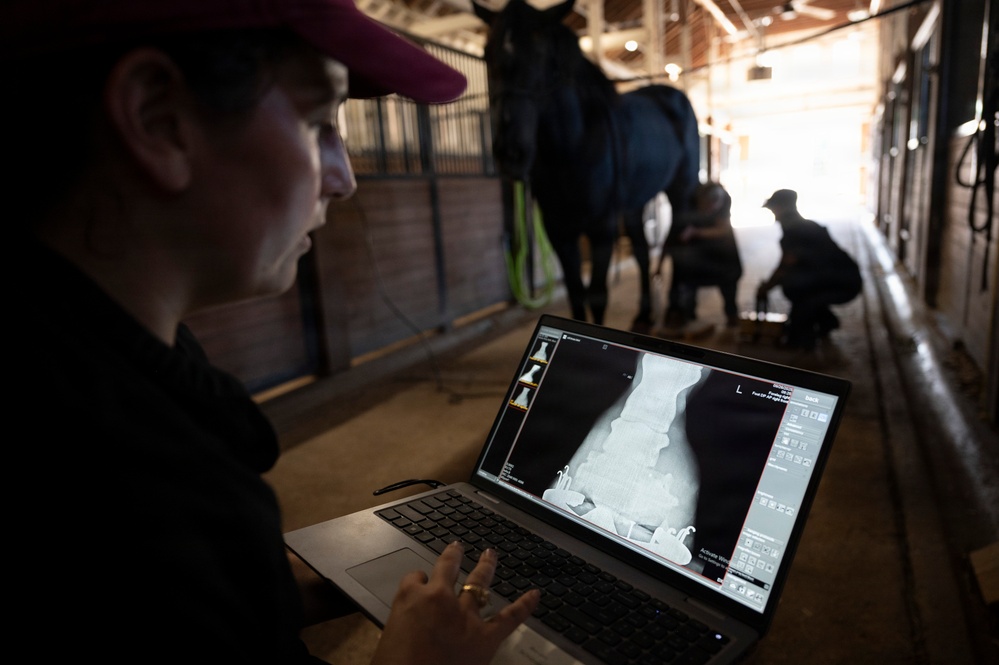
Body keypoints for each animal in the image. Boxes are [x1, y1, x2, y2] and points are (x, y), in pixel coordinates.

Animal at [472, 0, 701, 332]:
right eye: (487, 53)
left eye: (542, 53)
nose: (510, 154)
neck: (572, 150)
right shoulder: (559, 231)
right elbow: (576, 293)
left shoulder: (601, 229)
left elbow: (597, 295)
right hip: (635, 204)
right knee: (644, 253)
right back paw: (644, 316)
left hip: (680, 190)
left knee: (679, 244)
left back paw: (675, 310)